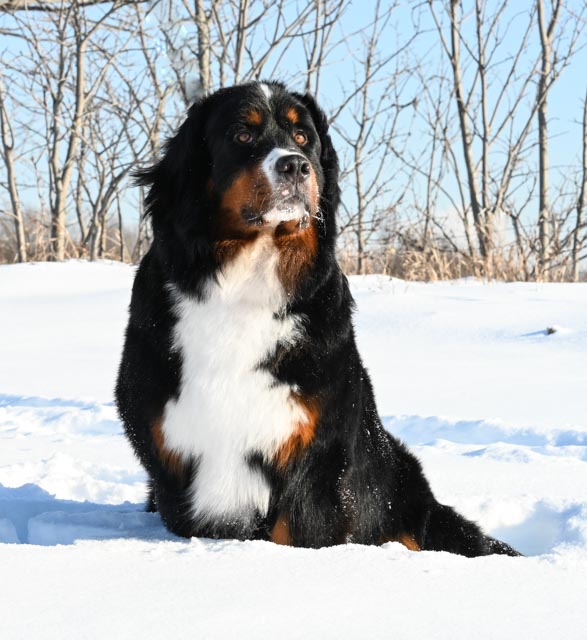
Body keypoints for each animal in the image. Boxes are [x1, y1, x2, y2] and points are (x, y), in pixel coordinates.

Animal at [115, 81, 519, 556]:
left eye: (303, 137)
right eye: (242, 135)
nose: (294, 165)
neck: (246, 283)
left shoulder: (316, 460)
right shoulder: (168, 451)